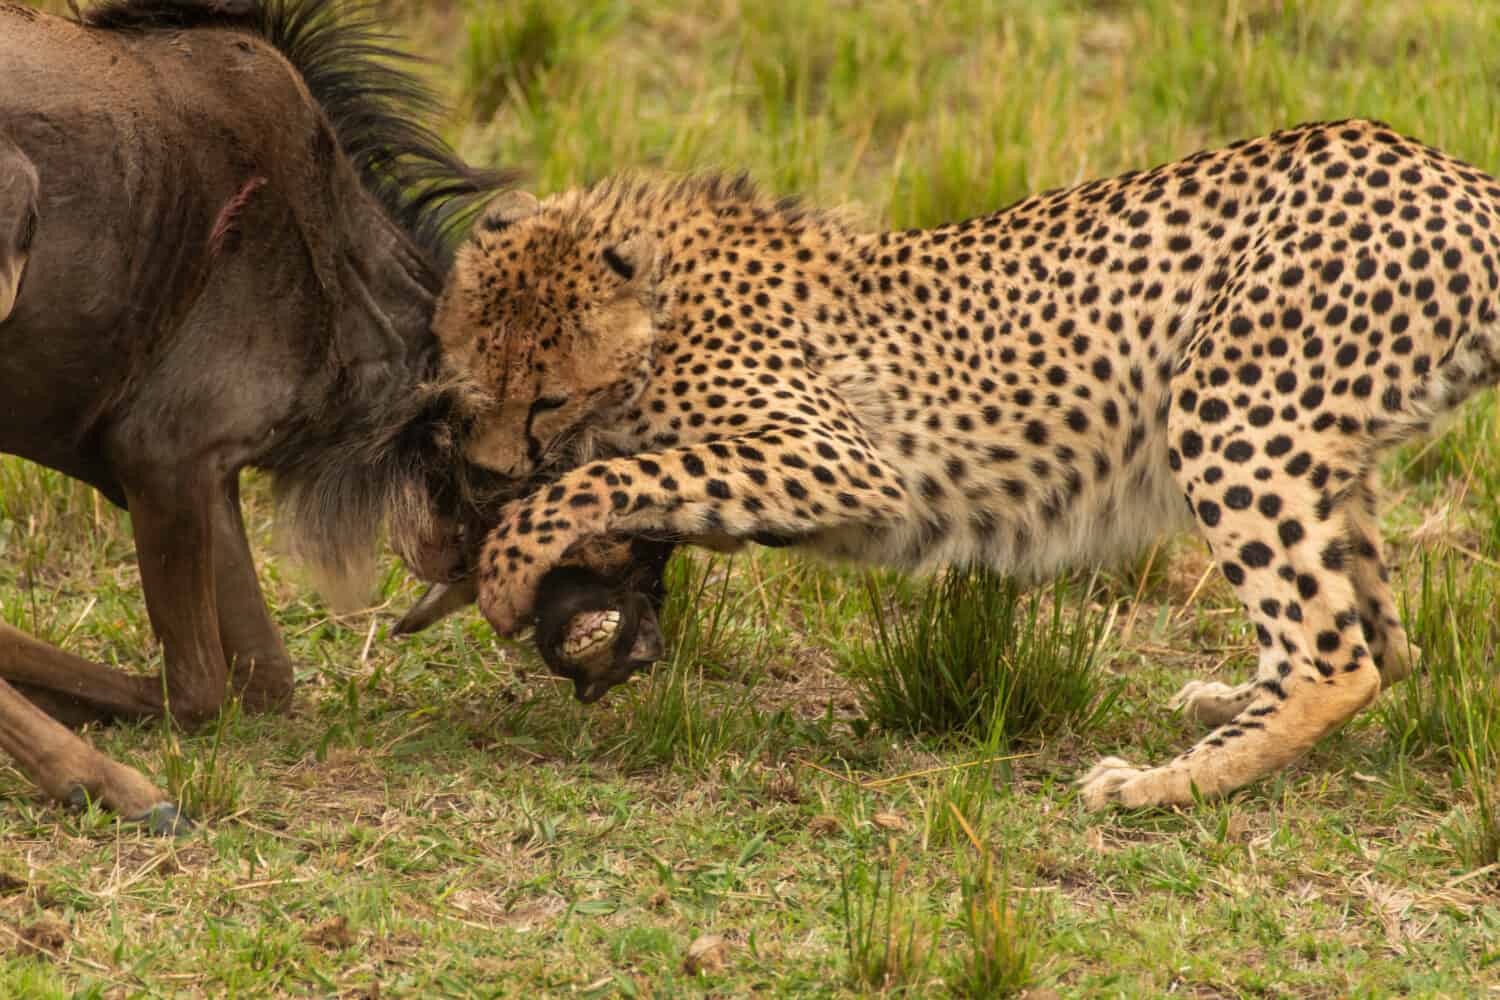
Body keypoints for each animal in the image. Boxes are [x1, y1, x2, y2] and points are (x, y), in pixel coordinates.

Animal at [435, 117, 1500, 809]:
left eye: (547, 398)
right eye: (470, 391)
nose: (484, 475)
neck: (659, 305)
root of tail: (1445, 167)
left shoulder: (837, 456)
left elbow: (614, 473)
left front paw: (511, 561)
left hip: (1226, 407)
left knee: (1337, 659)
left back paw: (1159, 786)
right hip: (1318, 446)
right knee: (1382, 641)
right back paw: (1229, 705)